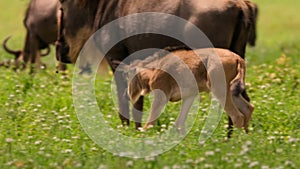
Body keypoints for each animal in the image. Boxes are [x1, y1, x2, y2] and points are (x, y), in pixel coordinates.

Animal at [118, 47, 254, 136]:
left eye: (128, 76)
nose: (126, 95)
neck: (157, 67)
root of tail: (238, 59)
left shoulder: (161, 97)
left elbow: (150, 123)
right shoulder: (189, 97)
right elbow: (180, 123)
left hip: (220, 91)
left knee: (237, 116)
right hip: (231, 92)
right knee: (248, 108)